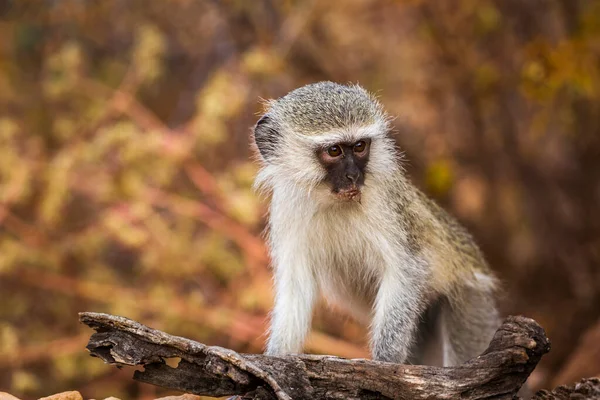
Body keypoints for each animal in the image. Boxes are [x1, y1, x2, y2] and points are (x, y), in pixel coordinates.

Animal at [251, 81, 500, 366]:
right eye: (334, 151)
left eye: (360, 146)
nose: (353, 175)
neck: (333, 202)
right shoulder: (286, 208)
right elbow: (296, 286)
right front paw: (277, 357)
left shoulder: (385, 202)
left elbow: (407, 270)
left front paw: (385, 361)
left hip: (473, 300)